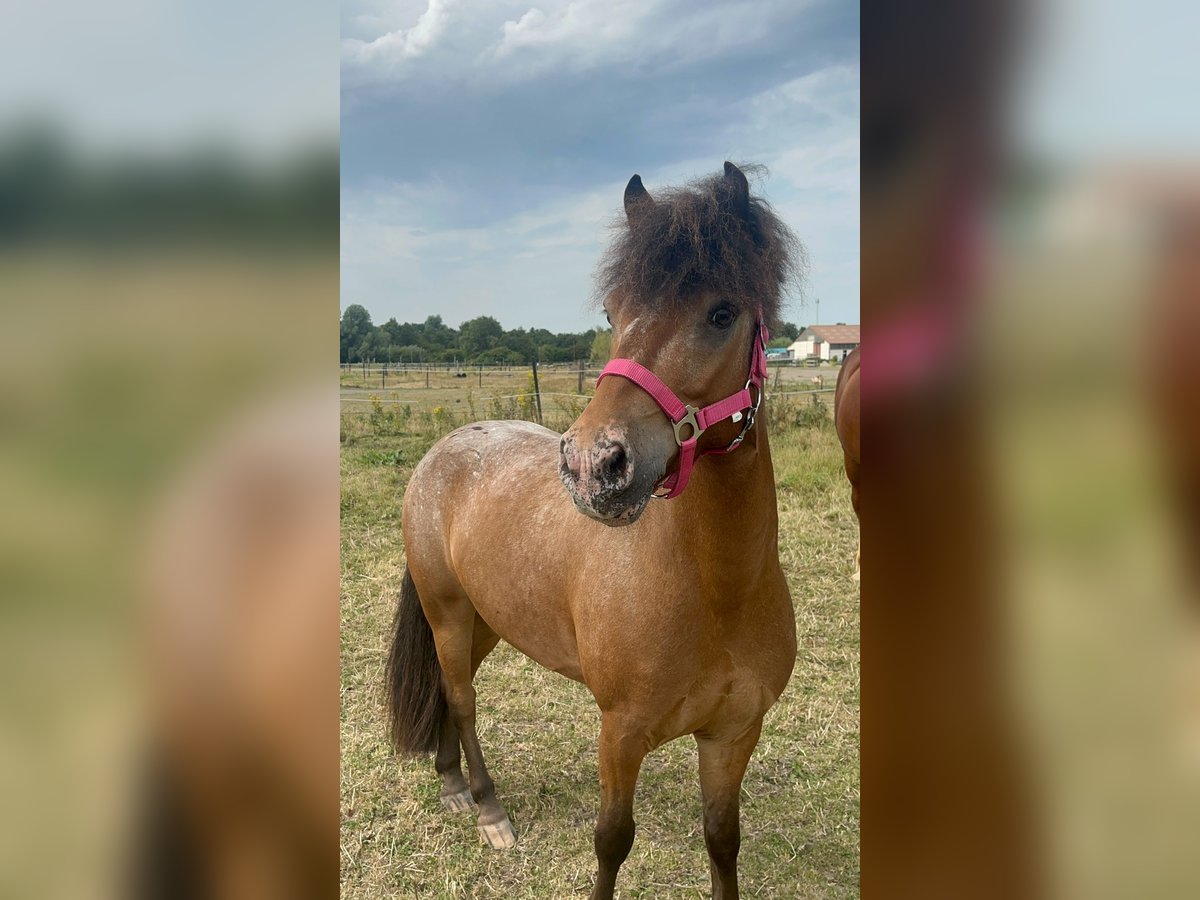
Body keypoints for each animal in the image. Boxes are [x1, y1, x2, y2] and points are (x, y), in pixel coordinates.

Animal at [388, 164, 801, 900]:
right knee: (461, 700)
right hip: (448, 613)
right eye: (611, 314)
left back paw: (451, 784)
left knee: (447, 689)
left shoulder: (733, 735)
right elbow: (612, 841)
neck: (718, 591)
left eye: (721, 313)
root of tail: (442, 452)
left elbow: (723, 841)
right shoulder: (621, 732)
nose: (592, 465)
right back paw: (486, 807)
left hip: (485, 620)